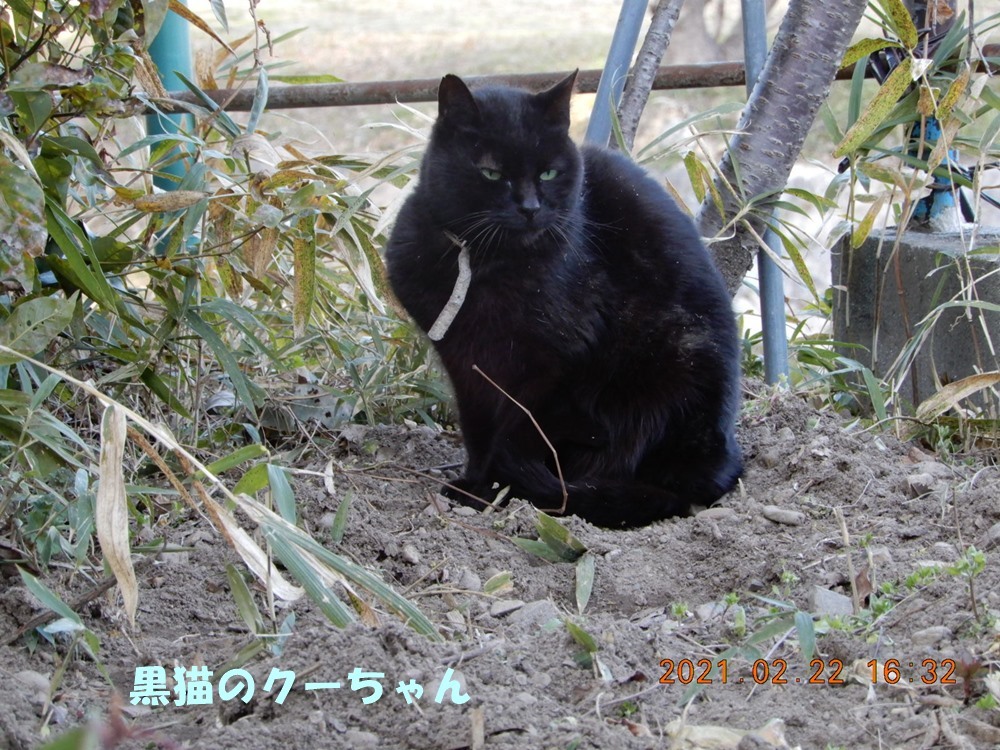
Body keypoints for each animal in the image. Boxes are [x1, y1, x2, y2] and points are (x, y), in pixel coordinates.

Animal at [382, 72, 744, 528]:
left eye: (549, 172)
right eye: (492, 173)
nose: (530, 207)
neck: (487, 267)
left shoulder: (551, 364)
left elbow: (518, 429)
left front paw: (495, 489)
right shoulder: (466, 362)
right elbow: (477, 428)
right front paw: (475, 484)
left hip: (675, 362)